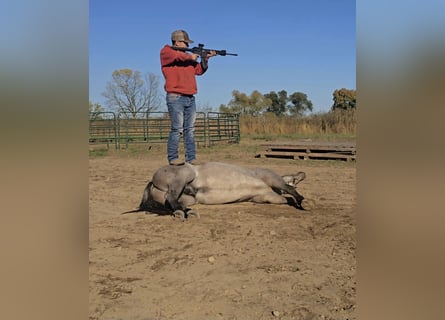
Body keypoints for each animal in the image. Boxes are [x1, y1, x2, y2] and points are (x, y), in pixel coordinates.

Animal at [124, 161, 306, 219]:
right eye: (296, 180)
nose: (302, 174)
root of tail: (152, 181)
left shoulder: (266, 197)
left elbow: (284, 198)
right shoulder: (270, 177)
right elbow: (288, 190)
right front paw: (300, 201)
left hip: (190, 198)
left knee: (173, 202)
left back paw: (187, 212)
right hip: (186, 174)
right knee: (171, 197)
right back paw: (183, 213)